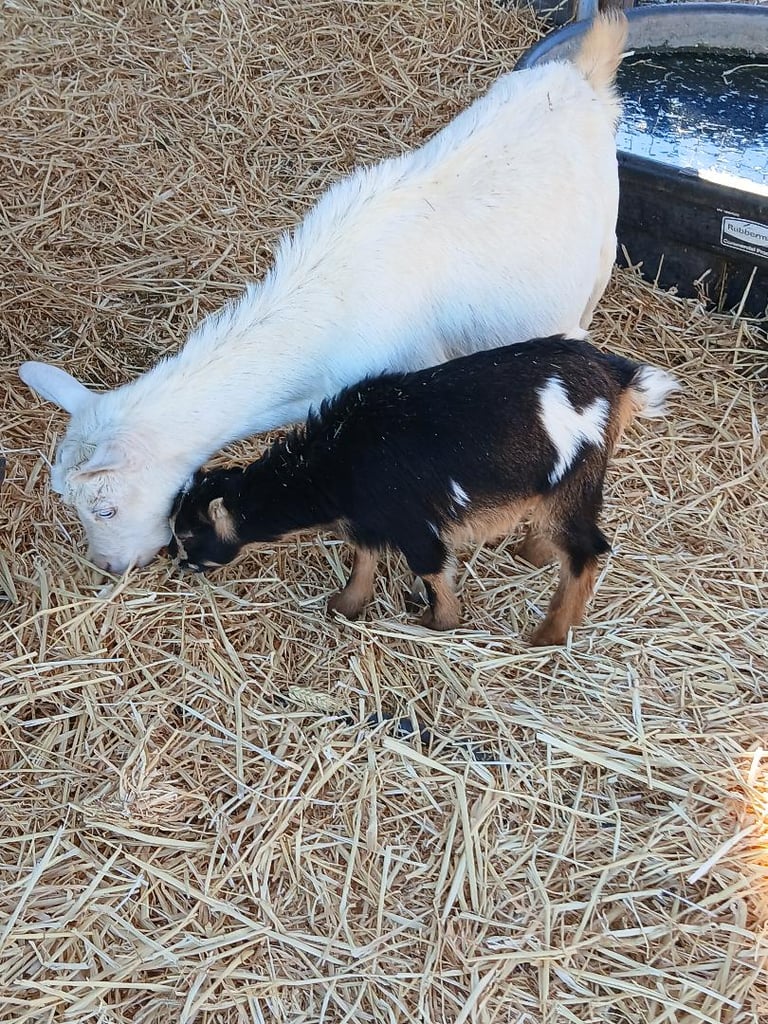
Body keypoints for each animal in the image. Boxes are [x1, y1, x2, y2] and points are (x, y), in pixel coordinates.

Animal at [170, 335, 678, 645]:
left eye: (191, 535)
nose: (179, 566)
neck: (335, 460)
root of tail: (617, 379)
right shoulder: (368, 520)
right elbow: (364, 558)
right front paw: (345, 606)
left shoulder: (414, 524)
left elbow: (431, 569)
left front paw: (439, 622)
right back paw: (529, 556)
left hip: (577, 473)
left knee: (586, 550)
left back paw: (547, 636)